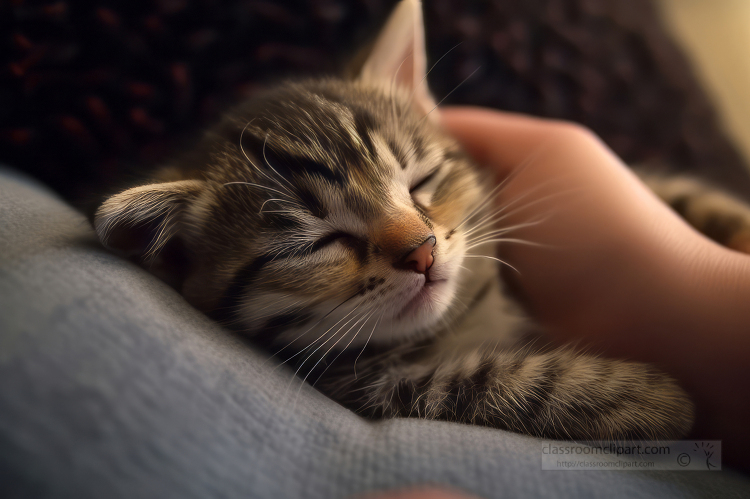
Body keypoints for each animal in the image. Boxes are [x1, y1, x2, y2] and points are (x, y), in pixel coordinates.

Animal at [94, 0, 750, 440]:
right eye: (315, 244)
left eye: (421, 180)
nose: (422, 251)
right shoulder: (366, 386)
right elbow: (479, 383)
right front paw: (648, 399)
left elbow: (675, 191)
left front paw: (733, 223)